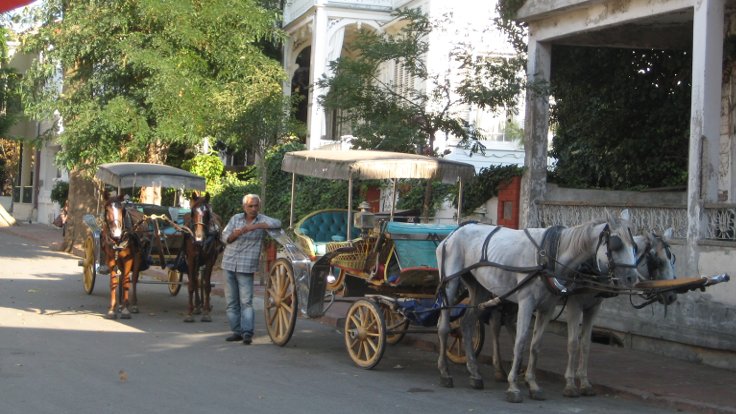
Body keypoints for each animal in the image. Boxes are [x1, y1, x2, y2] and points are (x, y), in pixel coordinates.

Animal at [182, 194, 223, 324]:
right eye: (192, 212)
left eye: (207, 213)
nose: (199, 238)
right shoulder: (191, 259)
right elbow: (191, 284)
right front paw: (189, 313)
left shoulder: (210, 260)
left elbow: (206, 285)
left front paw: (206, 312)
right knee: (195, 279)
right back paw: (197, 306)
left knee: (201, 280)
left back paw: (204, 306)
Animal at [436, 210, 640, 402]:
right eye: (616, 243)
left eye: (635, 246)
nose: (633, 278)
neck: (550, 255)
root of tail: (453, 234)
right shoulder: (531, 302)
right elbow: (521, 342)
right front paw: (514, 387)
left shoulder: (548, 307)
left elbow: (536, 344)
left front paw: (533, 385)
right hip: (451, 282)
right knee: (444, 327)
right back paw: (445, 373)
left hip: (480, 288)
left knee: (467, 324)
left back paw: (475, 374)